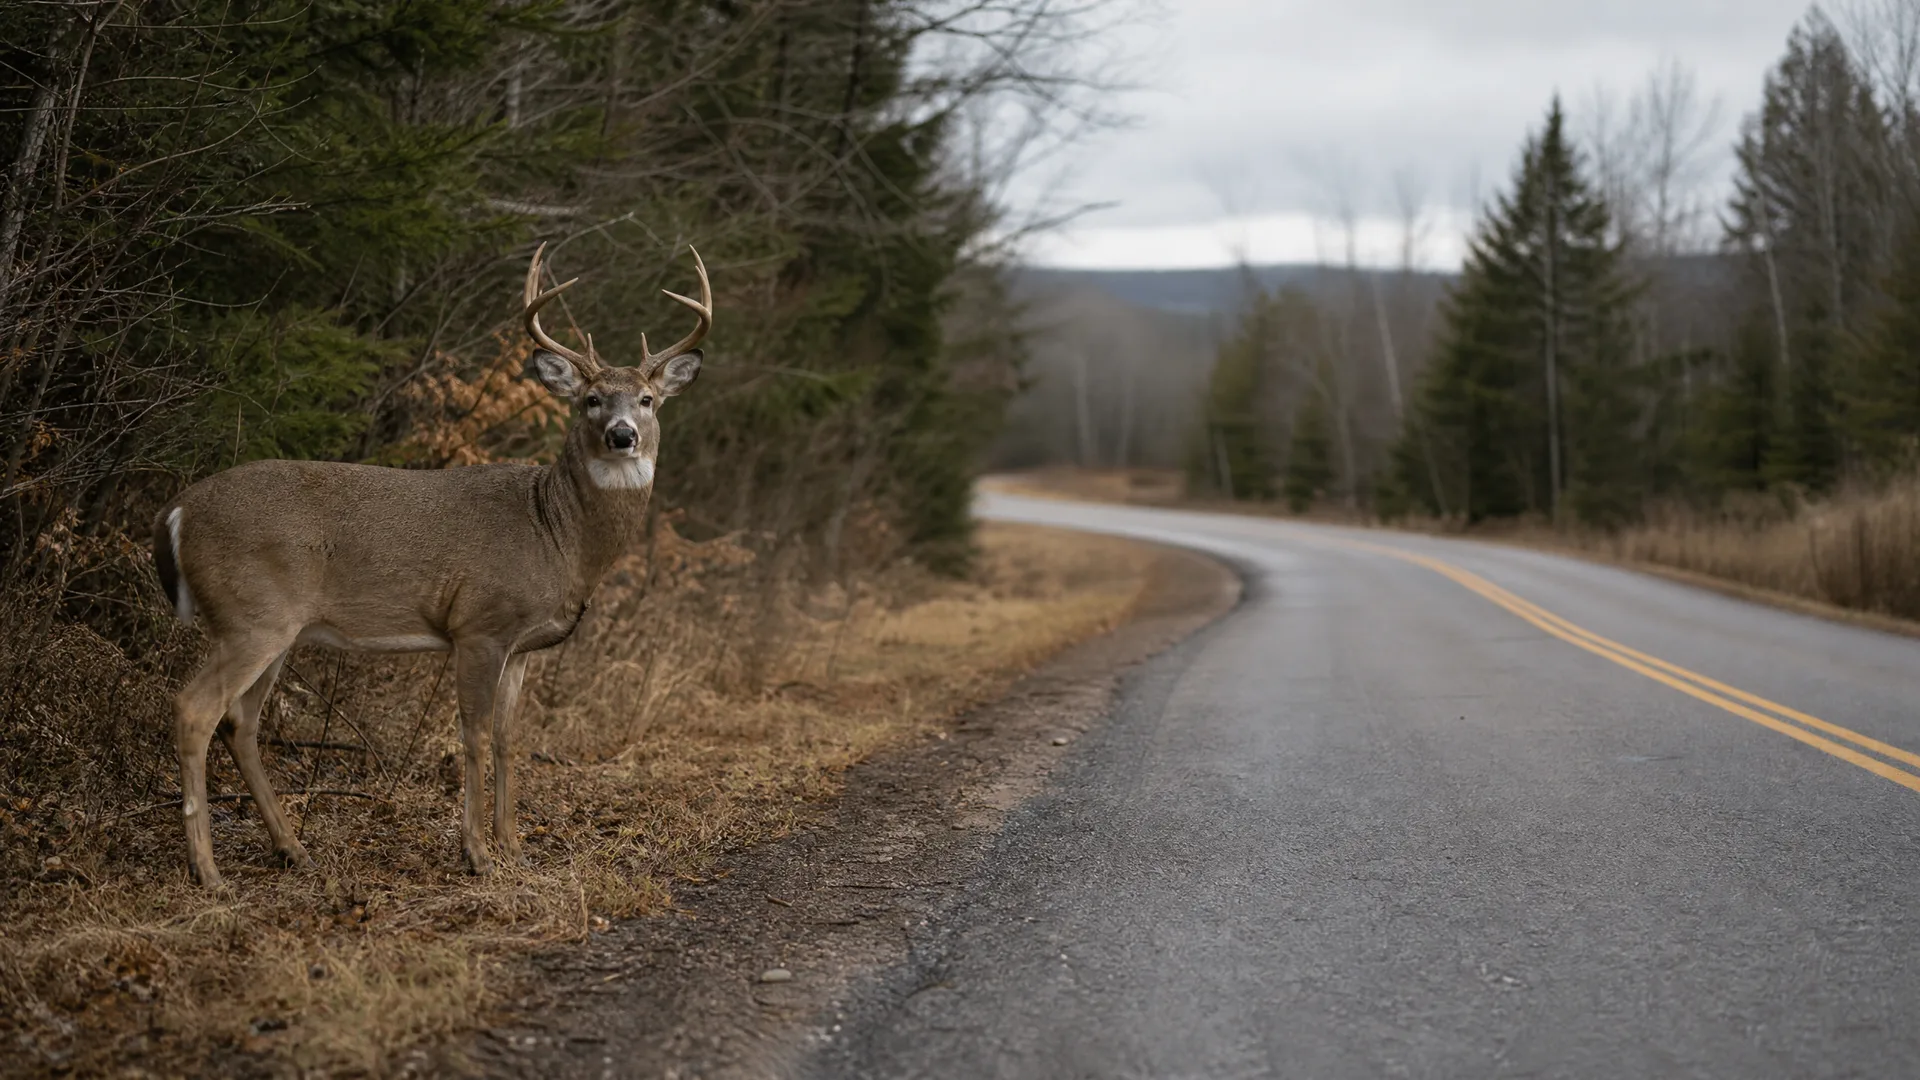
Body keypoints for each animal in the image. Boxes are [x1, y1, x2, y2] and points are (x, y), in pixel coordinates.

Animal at [151, 243, 710, 888]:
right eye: (590, 400)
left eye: (647, 400)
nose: (622, 435)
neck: (556, 531)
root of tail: (176, 510)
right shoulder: (479, 625)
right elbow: (472, 736)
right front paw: (477, 855)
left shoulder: (522, 646)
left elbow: (508, 740)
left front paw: (515, 849)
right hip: (249, 615)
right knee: (194, 710)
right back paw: (208, 871)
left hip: (272, 628)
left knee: (240, 721)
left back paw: (293, 850)